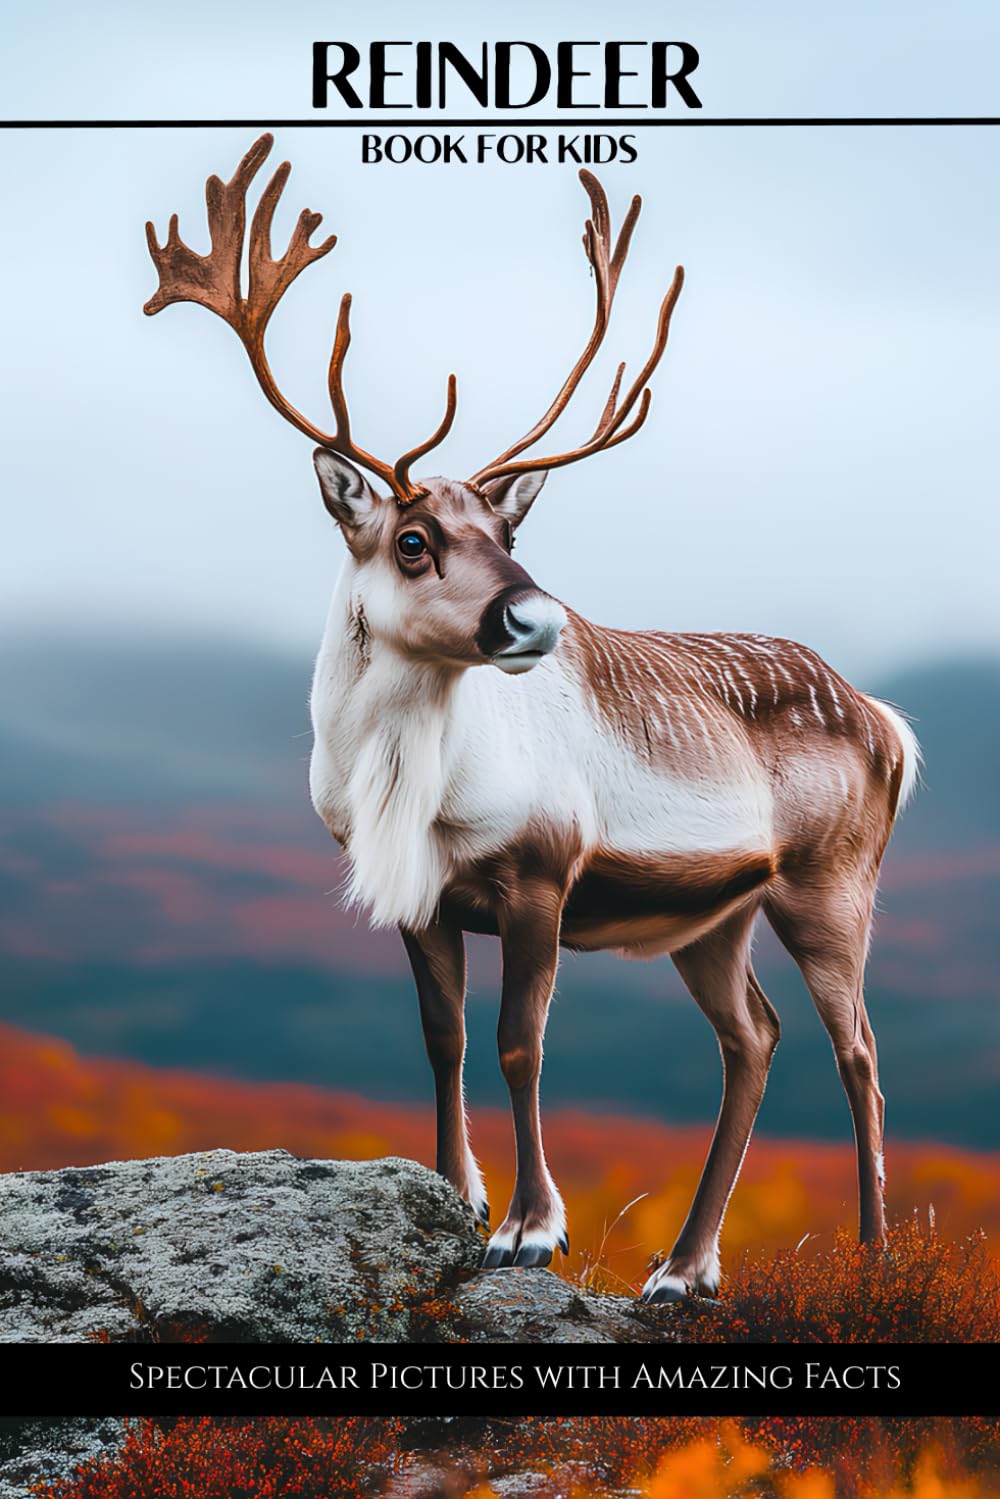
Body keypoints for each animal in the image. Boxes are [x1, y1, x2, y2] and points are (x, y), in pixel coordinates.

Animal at [144, 134, 919, 1301]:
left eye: (505, 533)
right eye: (413, 539)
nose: (537, 614)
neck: (401, 785)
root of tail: (884, 717)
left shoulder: (541, 876)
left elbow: (521, 1041)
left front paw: (528, 1225)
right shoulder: (420, 893)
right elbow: (444, 1037)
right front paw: (456, 1193)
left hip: (829, 886)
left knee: (860, 1053)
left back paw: (867, 1263)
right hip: (717, 912)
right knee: (754, 1037)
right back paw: (682, 1268)